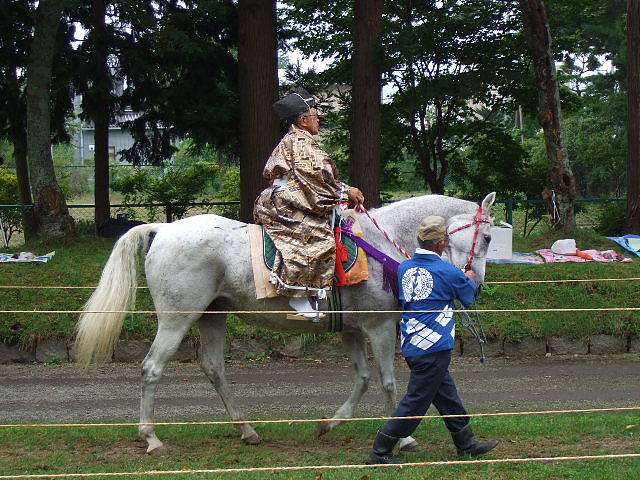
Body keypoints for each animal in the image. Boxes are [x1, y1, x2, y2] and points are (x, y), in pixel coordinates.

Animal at [74, 192, 496, 454]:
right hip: (178, 319)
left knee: (213, 368)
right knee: (151, 368)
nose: (475, 283)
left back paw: (247, 431)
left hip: (213, 316)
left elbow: (362, 379)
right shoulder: (378, 327)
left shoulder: (350, 331)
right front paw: (405, 441)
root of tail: (162, 229)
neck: (382, 245)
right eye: (490, 237)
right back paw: (151, 438)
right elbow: (389, 383)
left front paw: (330, 423)